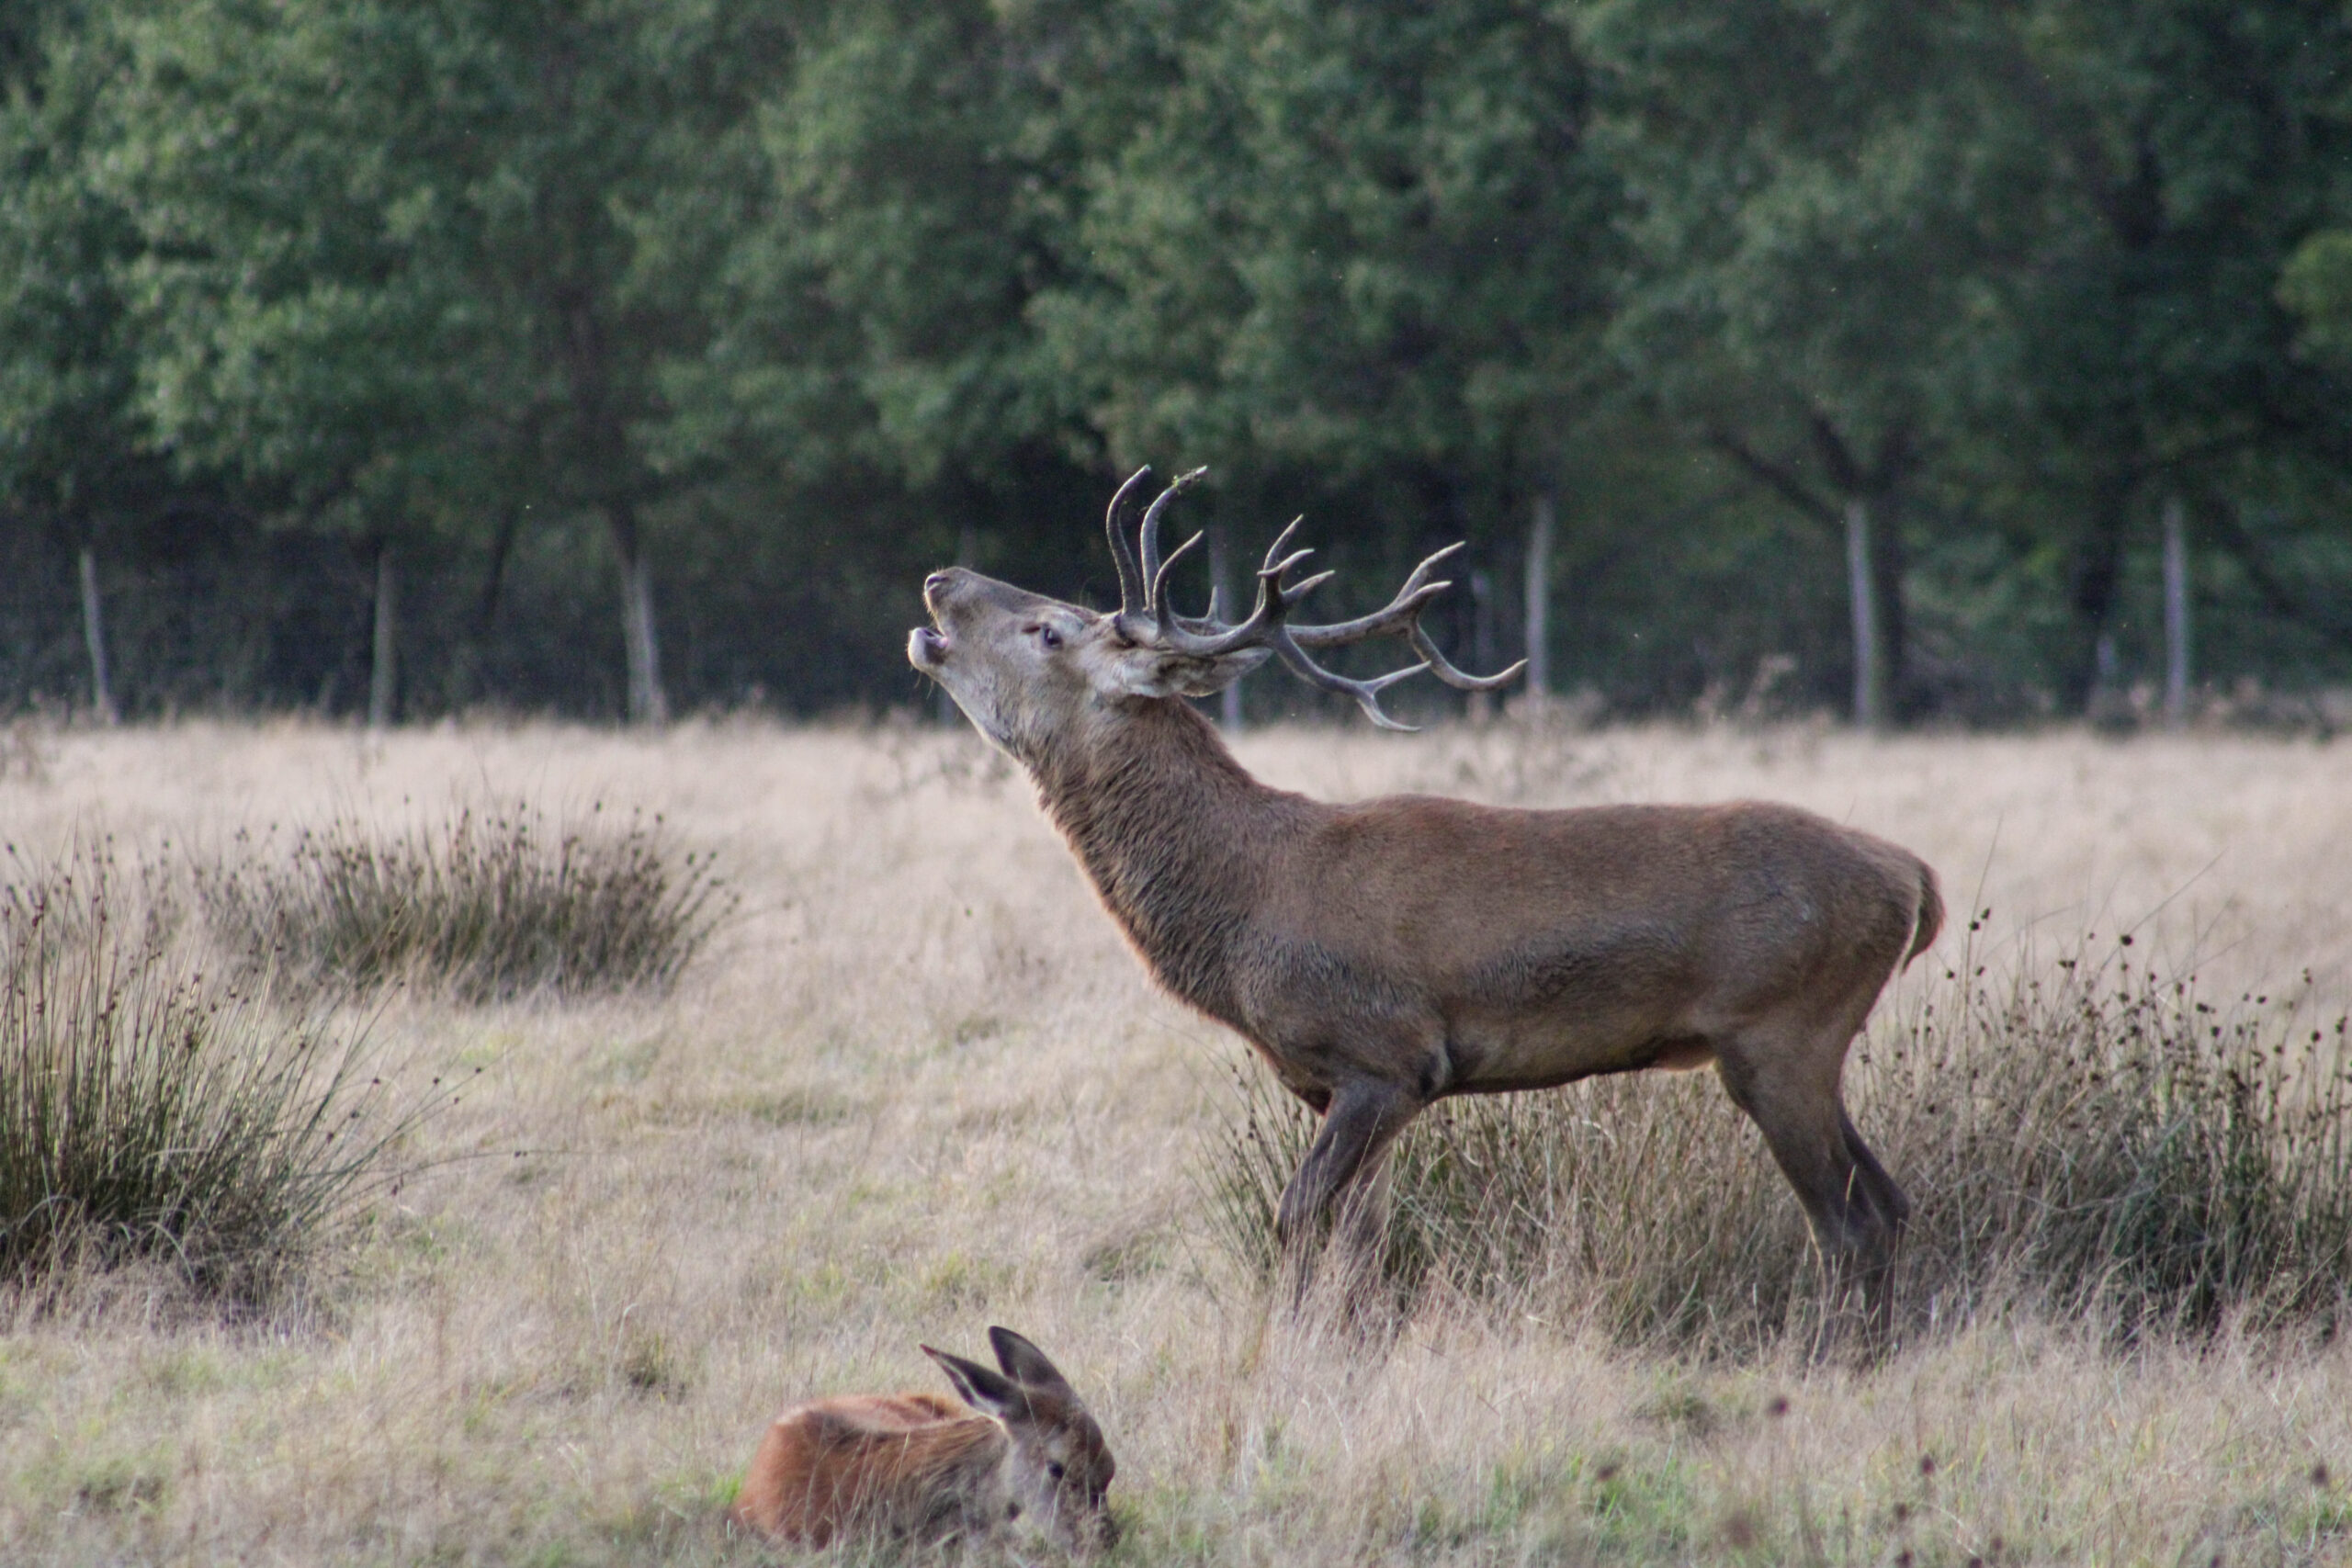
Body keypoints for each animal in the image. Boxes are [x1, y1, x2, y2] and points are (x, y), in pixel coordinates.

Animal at [908, 467, 1942, 1325]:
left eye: (1051, 627)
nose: (941, 580)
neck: (1244, 917)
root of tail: (1913, 878)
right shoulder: (1336, 1085)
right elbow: (1363, 1243)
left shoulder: (1386, 1053)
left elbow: (1297, 1220)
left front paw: (1287, 1348)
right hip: (1796, 1045)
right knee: (1890, 1206)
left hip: (1782, 1030)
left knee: (1848, 1222)